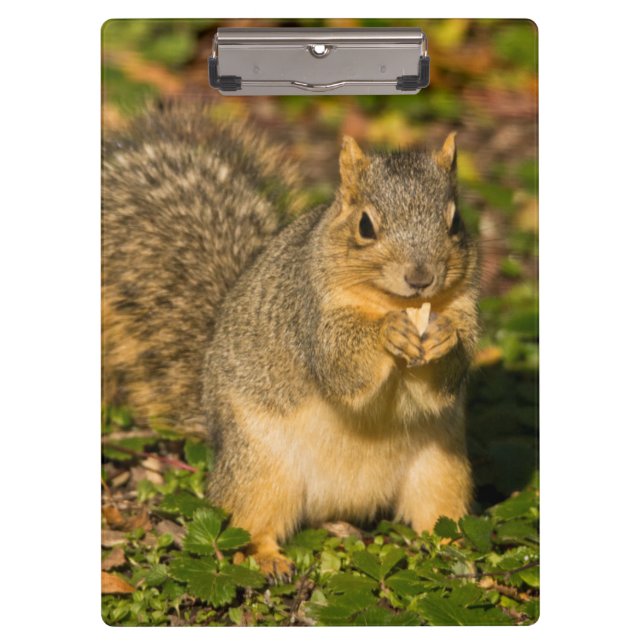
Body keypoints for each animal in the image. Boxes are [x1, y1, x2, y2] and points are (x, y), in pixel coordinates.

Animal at [102, 103, 480, 580]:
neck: (394, 302)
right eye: (365, 226)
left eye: (455, 222)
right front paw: (387, 333)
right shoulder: (310, 315)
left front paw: (445, 337)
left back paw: (458, 550)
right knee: (246, 522)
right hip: (260, 469)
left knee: (438, 515)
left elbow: (447, 377)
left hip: (442, 469)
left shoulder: (465, 307)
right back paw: (266, 558)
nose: (420, 277)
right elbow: (341, 364)